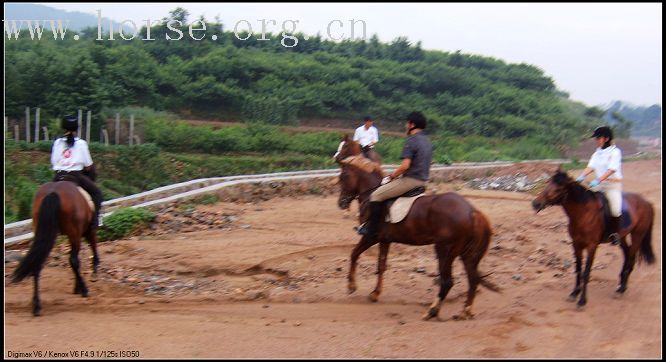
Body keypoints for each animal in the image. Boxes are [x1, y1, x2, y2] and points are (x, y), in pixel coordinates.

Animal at [11, 182, 100, 316]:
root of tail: (53, 192)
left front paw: (77, 287)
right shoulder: (87, 231)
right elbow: (91, 248)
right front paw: (89, 276)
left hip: (43, 231)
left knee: (37, 263)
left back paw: (36, 305)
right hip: (74, 233)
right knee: (73, 260)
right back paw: (85, 289)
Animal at [332, 136, 498, 320]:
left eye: (343, 177)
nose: (341, 203)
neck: (371, 194)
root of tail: (472, 211)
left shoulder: (370, 236)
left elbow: (354, 254)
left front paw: (351, 286)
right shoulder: (384, 240)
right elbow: (381, 265)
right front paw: (375, 294)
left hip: (445, 250)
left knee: (448, 281)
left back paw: (432, 311)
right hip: (466, 254)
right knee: (473, 279)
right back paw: (465, 311)